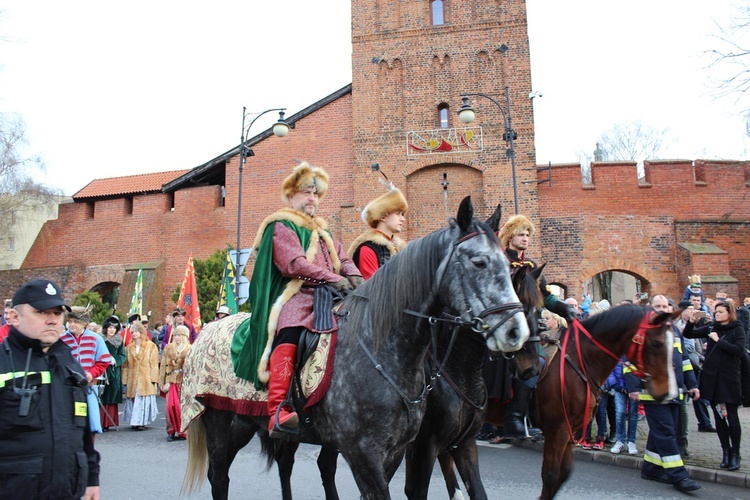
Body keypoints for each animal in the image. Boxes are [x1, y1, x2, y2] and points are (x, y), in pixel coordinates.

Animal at [536, 304, 680, 500]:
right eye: (656, 343)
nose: (669, 393)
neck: (578, 361)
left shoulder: (570, 431)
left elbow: (564, 473)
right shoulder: (556, 431)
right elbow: (550, 477)